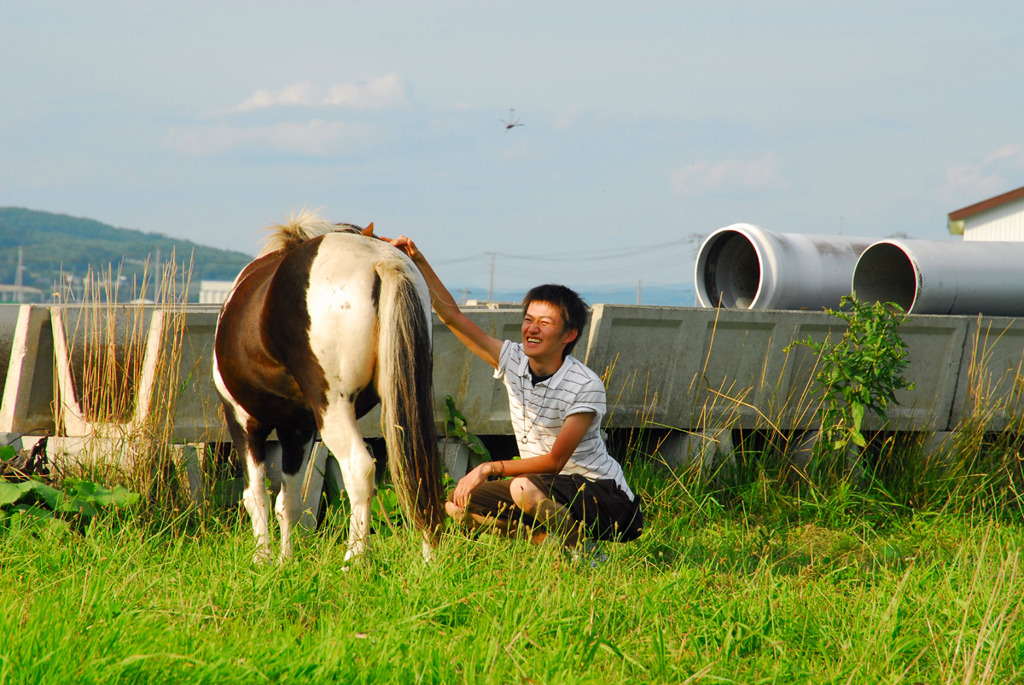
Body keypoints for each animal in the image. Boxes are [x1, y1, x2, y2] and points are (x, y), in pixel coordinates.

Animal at [211, 211, 444, 561]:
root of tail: (378, 259)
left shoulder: (242, 420)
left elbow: (257, 497)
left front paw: (263, 559)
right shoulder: (298, 429)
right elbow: (288, 501)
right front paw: (284, 562)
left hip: (334, 410)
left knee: (359, 469)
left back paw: (355, 560)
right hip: (403, 405)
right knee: (416, 469)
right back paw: (428, 559)